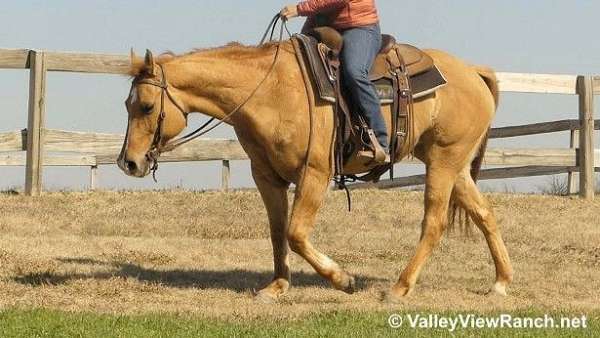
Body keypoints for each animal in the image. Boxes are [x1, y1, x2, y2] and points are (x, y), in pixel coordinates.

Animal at [118, 36, 516, 302]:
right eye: (127, 104)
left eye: (148, 106)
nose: (129, 162)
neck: (270, 90)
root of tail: (473, 72)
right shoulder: (266, 176)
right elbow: (278, 232)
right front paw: (277, 286)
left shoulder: (314, 173)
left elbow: (296, 233)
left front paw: (342, 279)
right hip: (452, 165)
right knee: (485, 214)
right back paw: (501, 281)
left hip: (443, 164)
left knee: (434, 223)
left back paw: (399, 288)